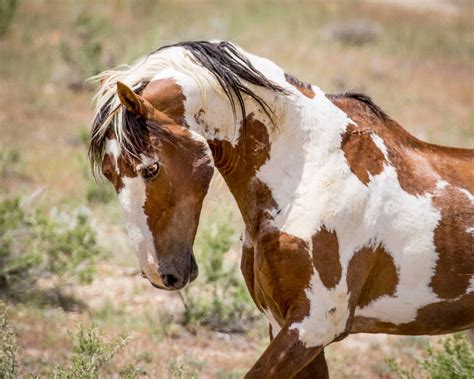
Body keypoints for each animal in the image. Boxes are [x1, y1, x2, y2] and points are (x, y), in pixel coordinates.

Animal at [90, 40, 474, 378]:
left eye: (150, 168)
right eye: (109, 173)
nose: (159, 274)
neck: (311, 171)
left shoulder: (313, 327)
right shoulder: (283, 323)